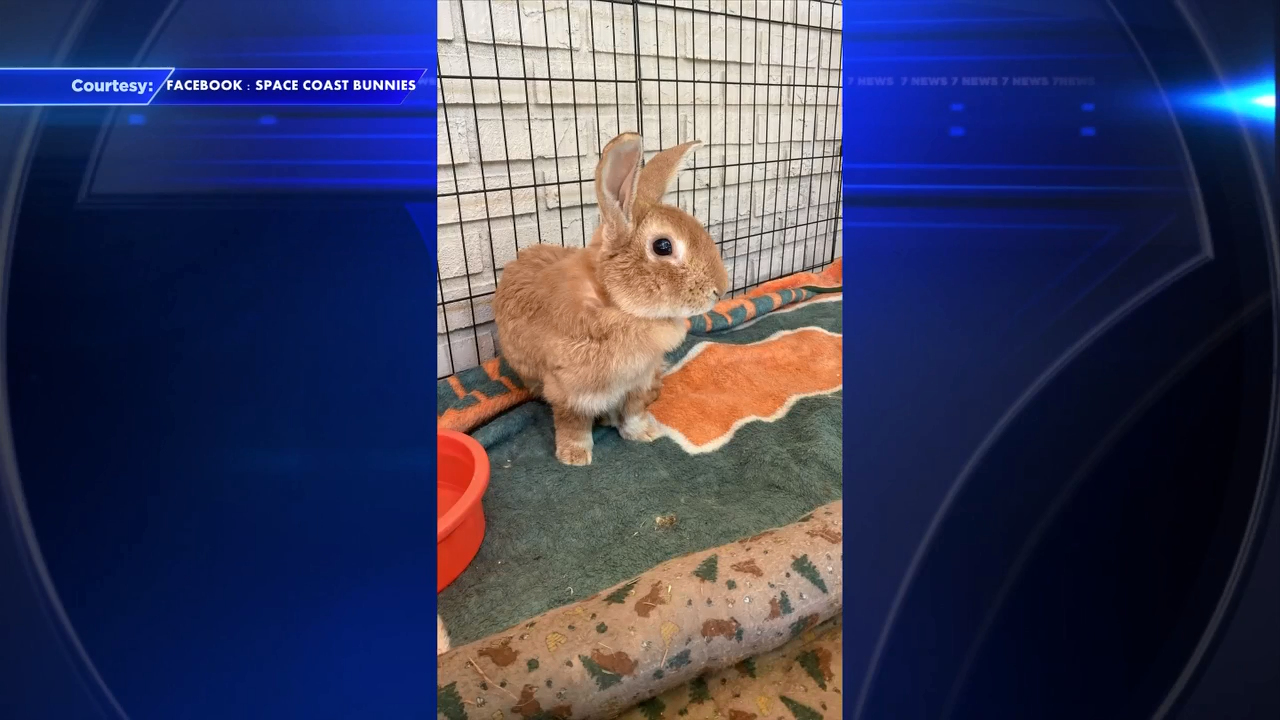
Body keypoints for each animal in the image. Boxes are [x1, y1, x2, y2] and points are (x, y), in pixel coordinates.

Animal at [493, 133, 729, 466]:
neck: (615, 305)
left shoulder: (637, 383)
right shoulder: (569, 390)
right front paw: (575, 456)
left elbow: (634, 411)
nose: (720, 290)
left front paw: (644, 434)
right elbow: (573, 423)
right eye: (663, 246)